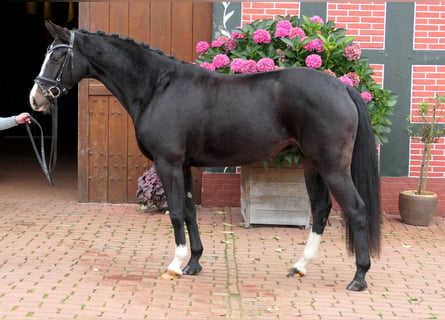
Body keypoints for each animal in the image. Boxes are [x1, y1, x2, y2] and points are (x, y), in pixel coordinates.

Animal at [29, 18, 380, 292]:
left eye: (58, 56)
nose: (36, 98)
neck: (158, 88)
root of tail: (342, 87)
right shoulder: (183, 166)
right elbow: (188, 211)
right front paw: (193, 262)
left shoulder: (168, 164)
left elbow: (175, 213)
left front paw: (174, 265)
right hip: (311, 163)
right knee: (320, 209)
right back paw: (300, 266)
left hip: (332, 166)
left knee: (356, 209)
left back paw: (359, 277)